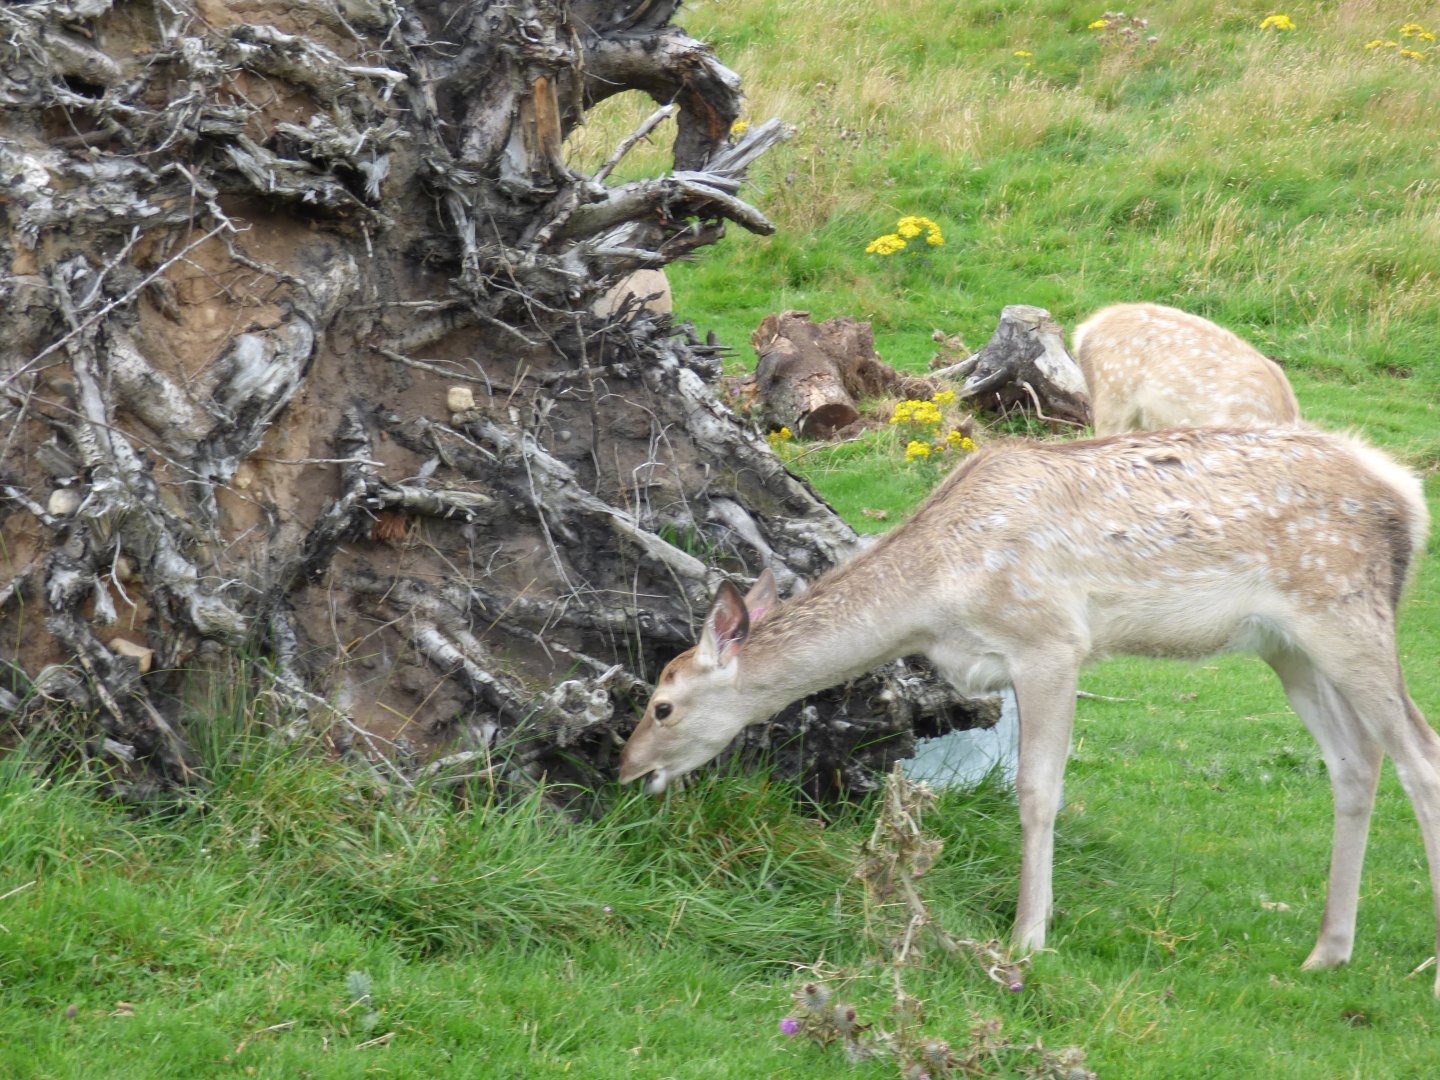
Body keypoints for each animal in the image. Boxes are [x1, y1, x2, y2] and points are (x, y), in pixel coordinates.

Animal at [619, 426, 1440, 991]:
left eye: (661, 705)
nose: (626, 771)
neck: (935, 594)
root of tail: (1406, 494)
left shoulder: (1050, 639)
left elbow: (1038, 791)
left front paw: (1026, 936)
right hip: (1286, 643)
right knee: (1355, 760)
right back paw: (1328, 949)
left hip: (1345, 605)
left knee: (1419, 751)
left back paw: (1423, 961)